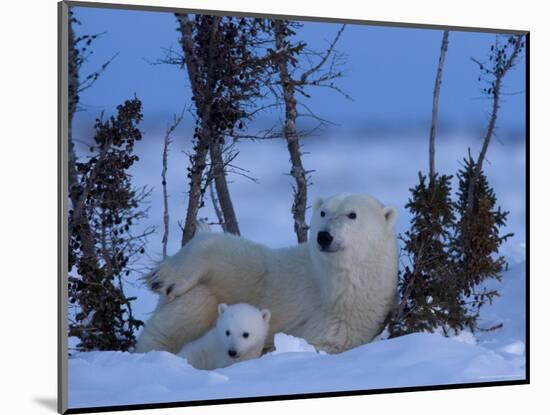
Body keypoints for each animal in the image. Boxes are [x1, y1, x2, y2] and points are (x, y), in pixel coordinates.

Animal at [136, 194, 398, 354]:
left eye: (352, 215)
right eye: (323, 213)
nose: (324, 236)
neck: (331, 288)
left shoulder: (345, 322)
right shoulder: (286, 276)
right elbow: (243, 262)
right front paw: (164, 277)